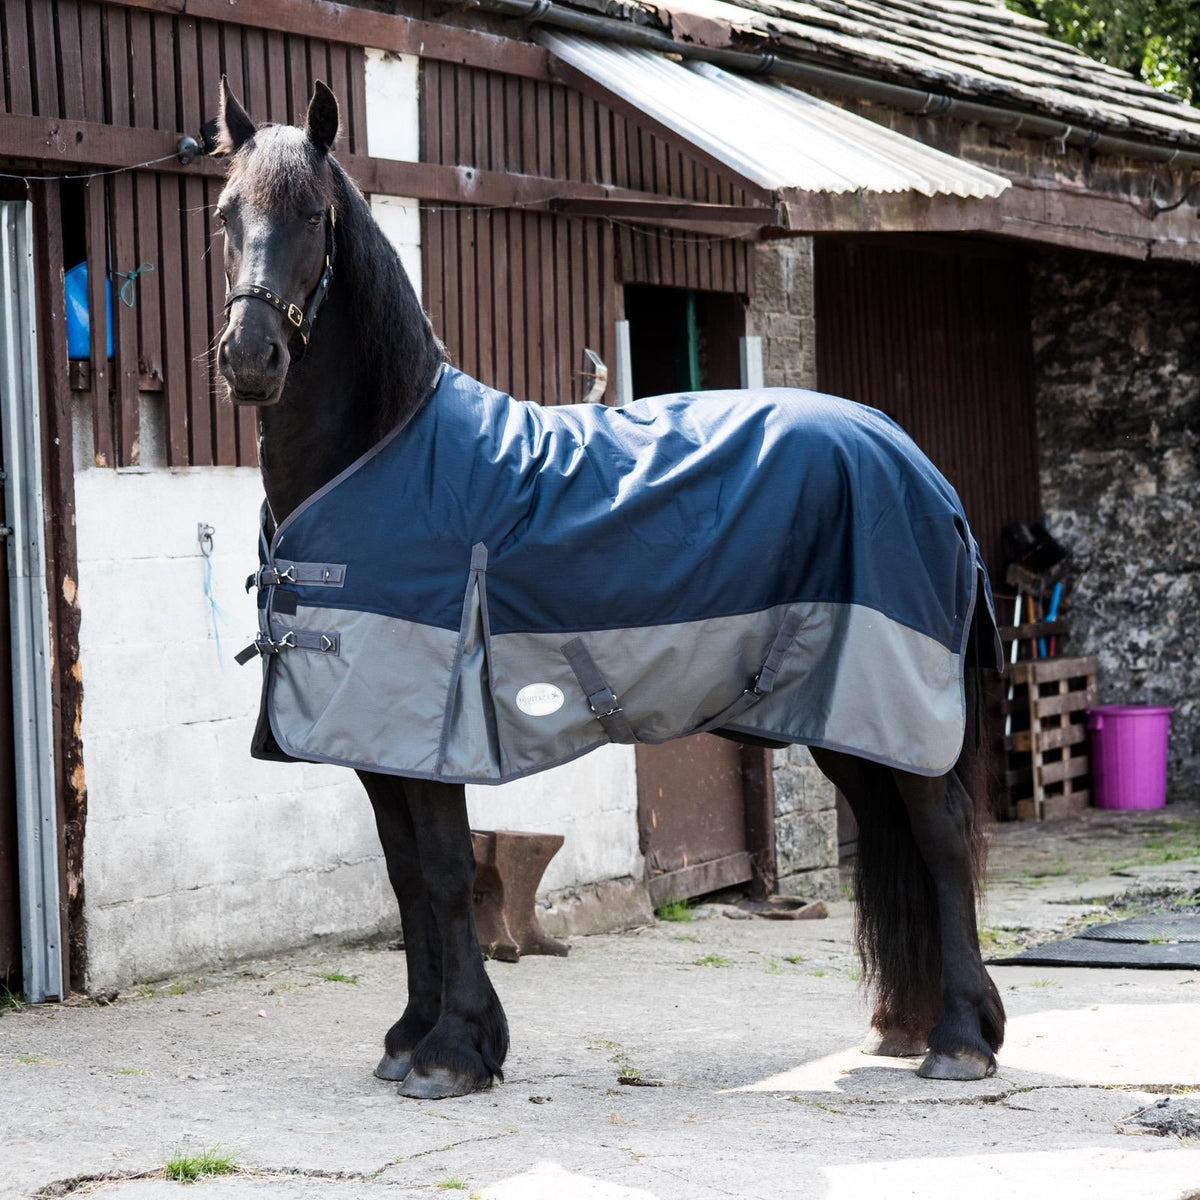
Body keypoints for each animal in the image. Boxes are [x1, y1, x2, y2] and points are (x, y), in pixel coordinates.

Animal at [213, 79, 1005, 1100]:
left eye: (315, 215)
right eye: (225, 214)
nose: (249, 358)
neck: (380, 455)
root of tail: (915, 459)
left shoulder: (428, 728)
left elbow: (442, 871)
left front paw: (454, 1050)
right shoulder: (373, 737)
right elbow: (404, 876)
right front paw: (410, 1036)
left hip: (897, 702)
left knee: (939, 834)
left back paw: (962, 1038)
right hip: (846, 716)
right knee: (890, 826)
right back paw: (903, 1025)